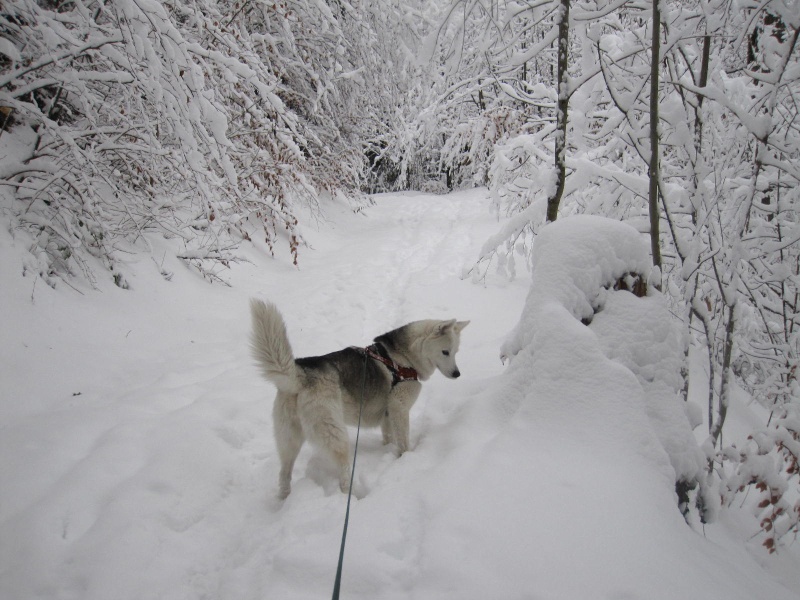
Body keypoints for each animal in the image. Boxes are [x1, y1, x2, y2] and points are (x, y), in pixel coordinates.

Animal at [247, 298, 466, 500]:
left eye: (456, 352)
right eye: (445, 352)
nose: (457, 374)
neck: (402, 357)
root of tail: (300, 373)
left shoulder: (388, 415)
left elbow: (389, 437)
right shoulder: (399, 409)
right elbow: (403, 442)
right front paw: (407, 459)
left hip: (289, 441)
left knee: (284, 475)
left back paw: (283, 500)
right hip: (336, 436)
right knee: (343, 475)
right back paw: (351, 496)